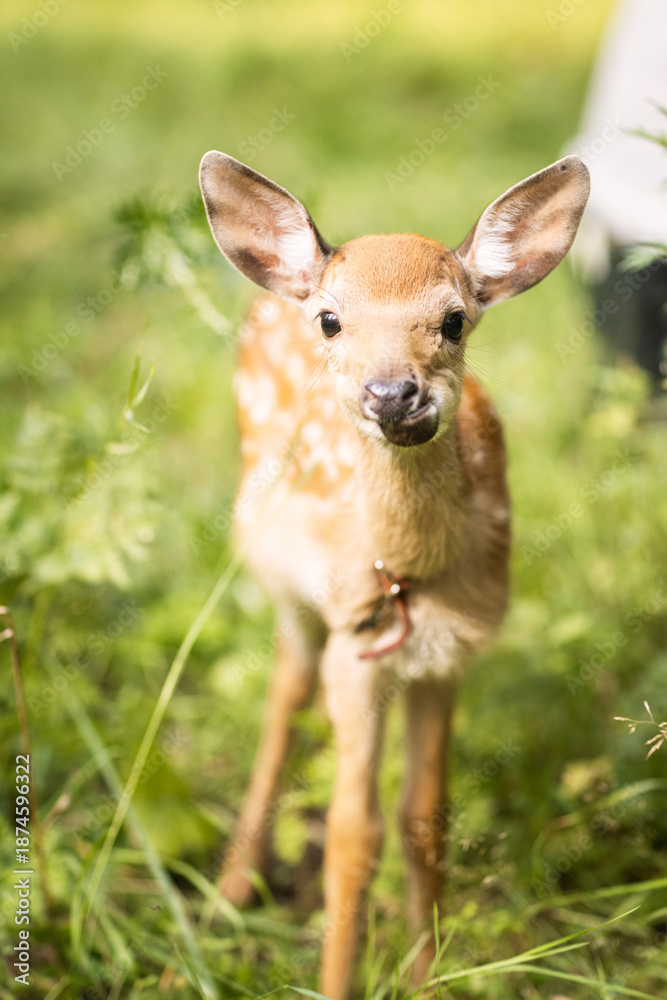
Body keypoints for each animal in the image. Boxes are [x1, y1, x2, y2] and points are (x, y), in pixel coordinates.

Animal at [198, 150, 590, 999]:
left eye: (453, 319)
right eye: (331, 321)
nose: (390, 394)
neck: (411, 574)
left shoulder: (447, 655)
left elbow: (422, 817)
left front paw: (426, 974)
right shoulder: (359, 652)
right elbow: (353, 836)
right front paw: (337, 979)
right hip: (282, 584)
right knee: (285, 692)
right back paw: (232, 888)